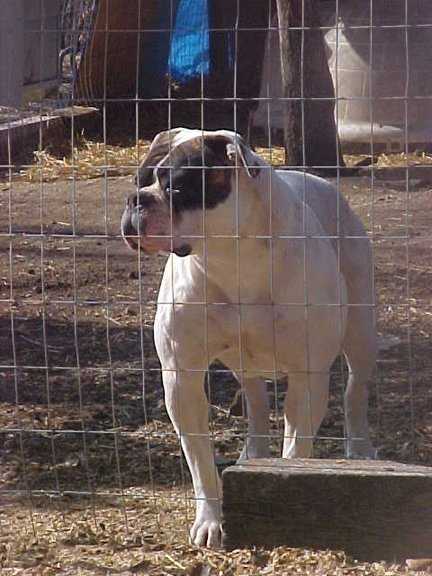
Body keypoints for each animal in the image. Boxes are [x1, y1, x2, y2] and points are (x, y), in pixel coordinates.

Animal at [120, 127, 376, 548]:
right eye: (138, 180)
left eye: (177, 187)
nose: (135, 200)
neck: (230, 258)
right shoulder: (181, 380)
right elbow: (201, 463)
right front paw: (211, 520)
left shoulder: (307, 379)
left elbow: (296, 448)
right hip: (244, 363)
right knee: (255, 402)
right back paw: (253, 454)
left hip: (360, 333)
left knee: (355, 393)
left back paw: (361, 450)